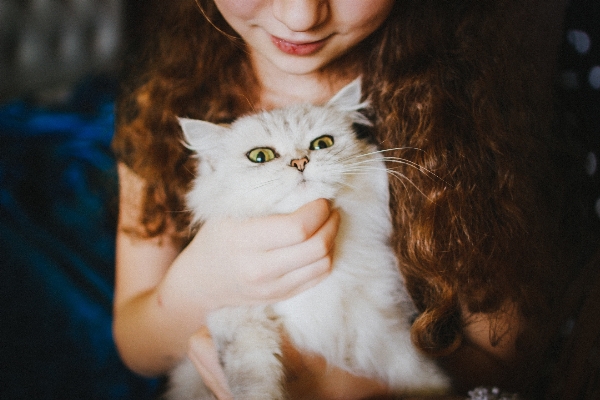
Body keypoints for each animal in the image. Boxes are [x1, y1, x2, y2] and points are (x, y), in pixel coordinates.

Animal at [166, 79, 448, 398]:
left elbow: (415, 370)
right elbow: (254, 379)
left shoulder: (380, 325)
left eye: (322, 144)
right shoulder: (239, 319)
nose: (300, 162)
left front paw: (437, 388)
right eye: (260, 156)